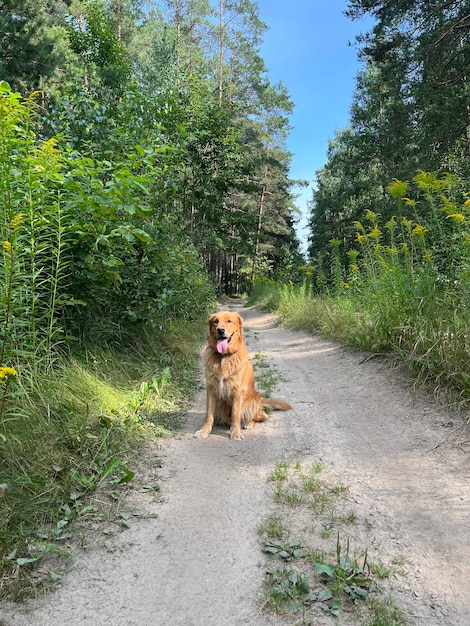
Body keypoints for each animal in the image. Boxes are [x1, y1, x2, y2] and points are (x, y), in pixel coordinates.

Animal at [194, 310, 290, 438]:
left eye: (229, 321)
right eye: (216, 321)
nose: (220, 330)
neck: (223, 357)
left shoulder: (237, 391)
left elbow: (235, 414)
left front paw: (235, 432)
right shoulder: (211, 388)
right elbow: (209, 414)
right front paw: (204, 430)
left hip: (253, 402)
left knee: (262, 417)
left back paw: (248, 423)